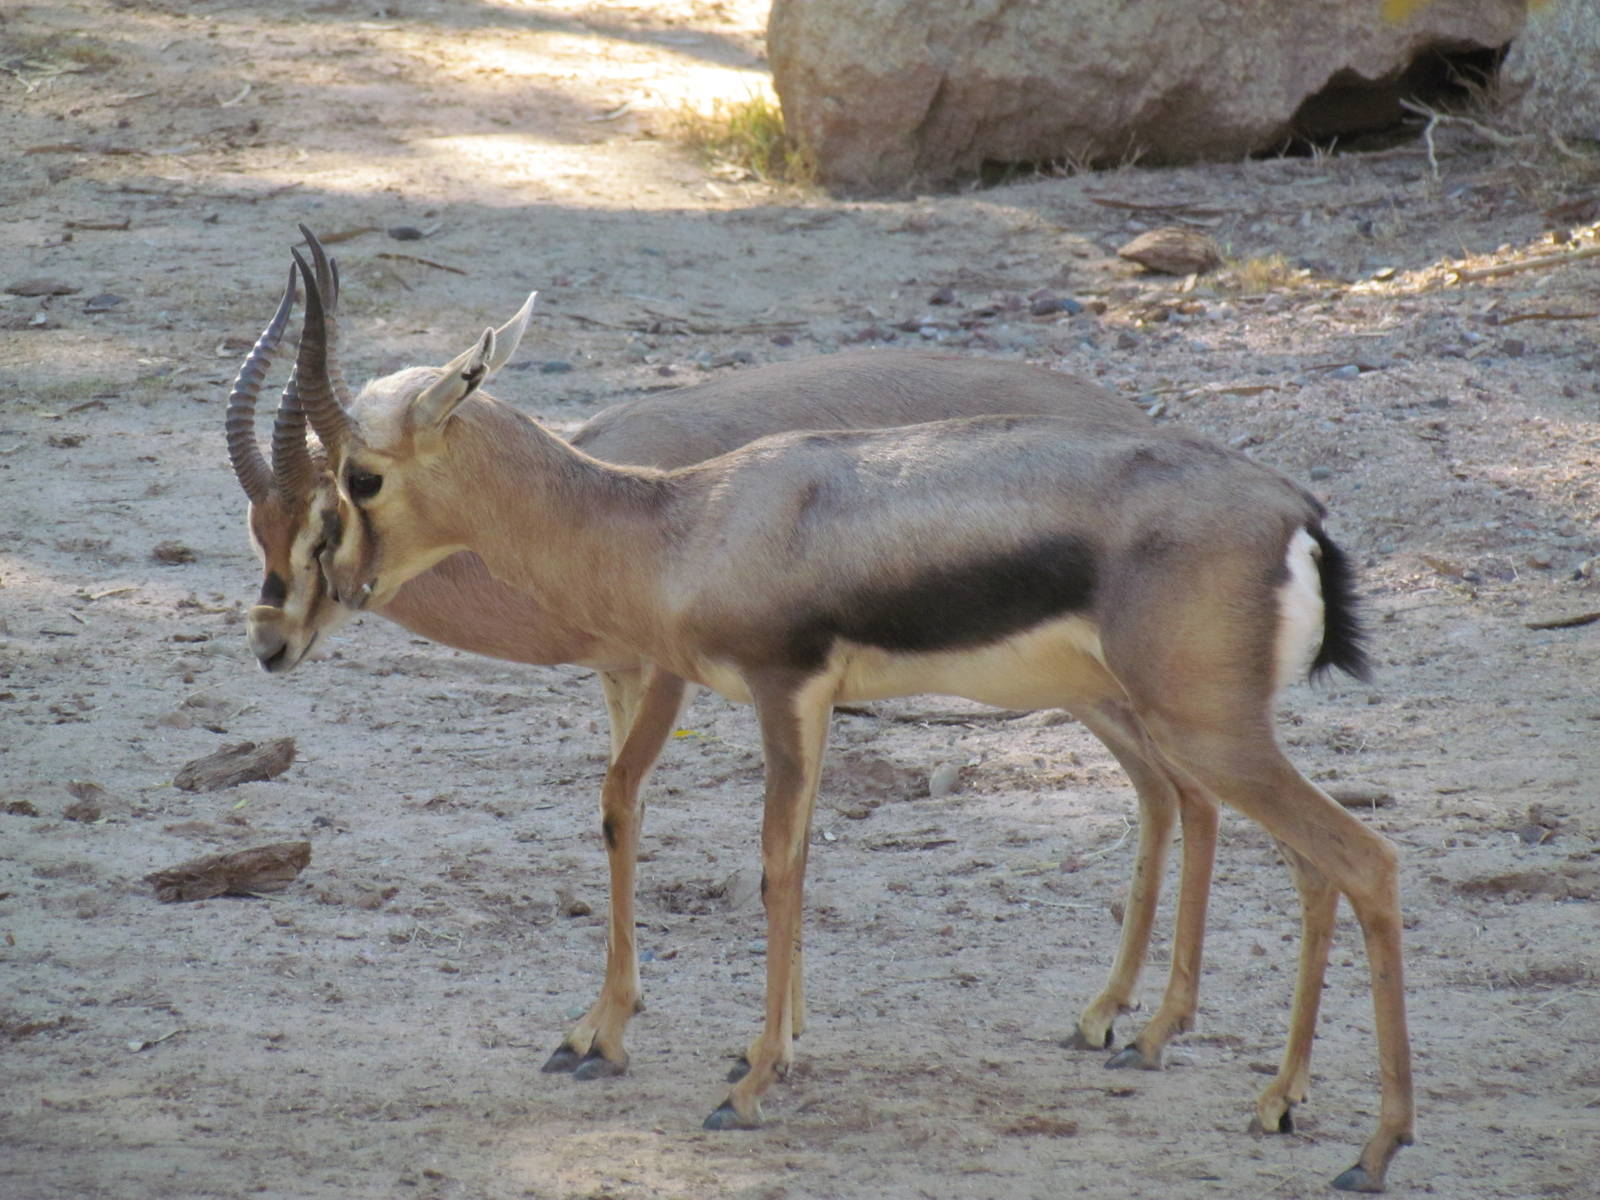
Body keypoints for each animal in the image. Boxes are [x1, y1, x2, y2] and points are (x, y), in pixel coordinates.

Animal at [263, 232, 1412, 1191]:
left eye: (358, 479)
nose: (327, 600)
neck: (684, 523)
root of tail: (1296, 517)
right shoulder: (800, 709)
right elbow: (798, 860)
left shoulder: (783, 694)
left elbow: (774, 866)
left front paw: (744, 1085)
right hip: (1194, 729)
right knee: (1299, 859)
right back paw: (1267, 1097)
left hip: (1200, 729)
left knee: (1361, 859)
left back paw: (1368, 1148)